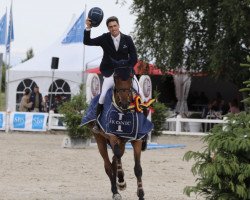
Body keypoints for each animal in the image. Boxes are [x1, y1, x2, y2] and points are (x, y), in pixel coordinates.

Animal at [82, 66, 152, 200]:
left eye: (130, 77)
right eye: (116, 77)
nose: (124, 102)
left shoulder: (137, 140)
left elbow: (138, 169)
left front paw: (141, 195)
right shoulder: (112, 136)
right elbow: (117, 156)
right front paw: (121, 182)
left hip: (122, 142)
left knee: (114, 160)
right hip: (100, 139)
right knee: (108, 165)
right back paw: (115, 190)